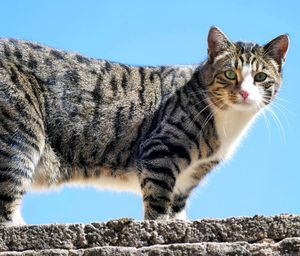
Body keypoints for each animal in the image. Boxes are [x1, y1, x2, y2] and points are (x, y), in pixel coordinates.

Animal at [0, 27, 288, 225]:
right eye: (229, 74)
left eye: (260, 77)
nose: (245, 93)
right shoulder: (161, 149)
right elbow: (159, 200)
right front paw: (159, 226)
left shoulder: (189, 177)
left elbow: (177, 207)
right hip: (21, 132)